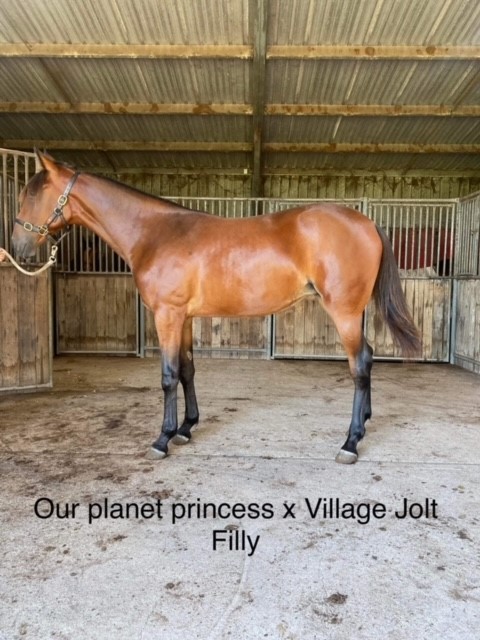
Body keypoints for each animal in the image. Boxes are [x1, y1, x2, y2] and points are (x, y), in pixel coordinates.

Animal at [12, 151, 421, 464]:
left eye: (31, 195)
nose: (18, 248)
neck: (155, 233)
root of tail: (367, 222)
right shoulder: (184, 318)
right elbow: (187, 371)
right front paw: (185, 428)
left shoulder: (167, 315)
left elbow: (168, 375)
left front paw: (162, 439)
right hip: (355, 311)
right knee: (368, 357)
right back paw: (365, 422)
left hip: (344, 312)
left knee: (360, 364)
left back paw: (350, 442)